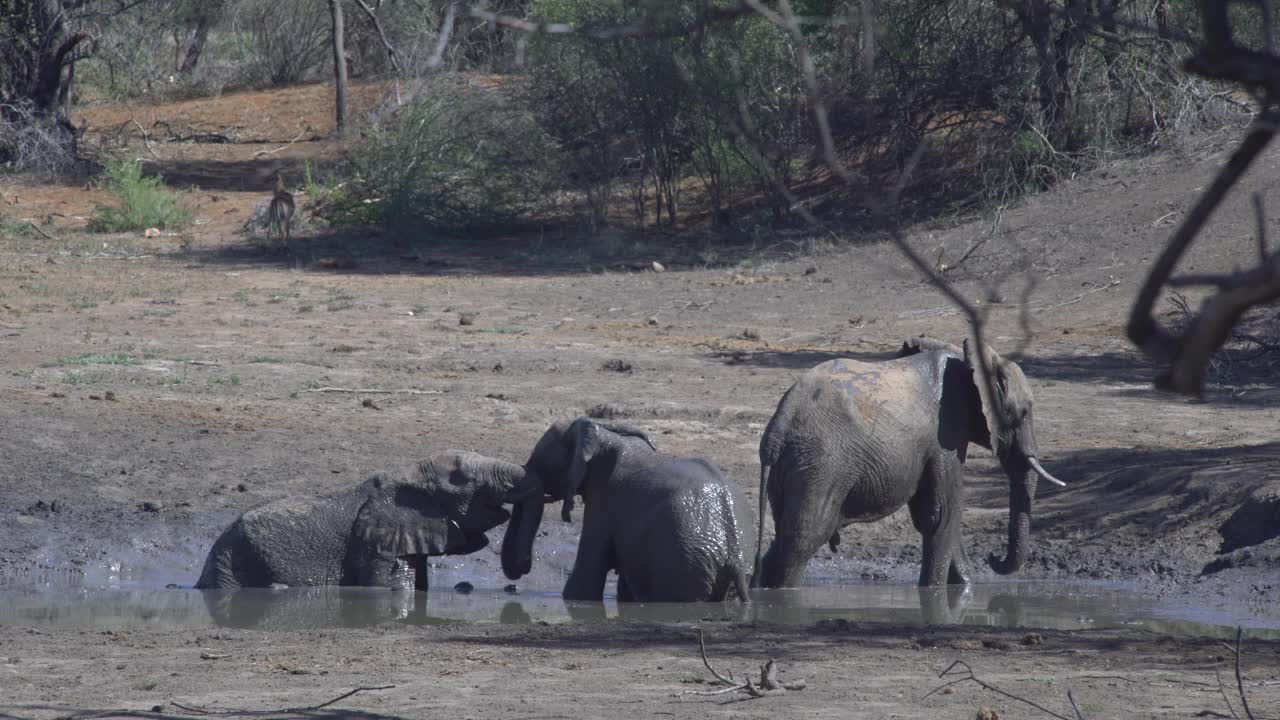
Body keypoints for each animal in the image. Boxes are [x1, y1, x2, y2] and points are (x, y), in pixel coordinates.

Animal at [499, 415, 747, 599]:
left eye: (540, 463)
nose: (522, 570)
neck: (609, 434)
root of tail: (735, 557)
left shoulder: (604, 499)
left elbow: (585, 581)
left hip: (684, 562)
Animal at [752, 335, 1064, 589]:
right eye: (1023, 412)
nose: (992, 557)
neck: (969, 358)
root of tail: (778, 427)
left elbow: (939, 516)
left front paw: (964, 588)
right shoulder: (945, 435)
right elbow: (941, 514)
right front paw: (933, 593)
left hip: (795, 466)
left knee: (782, 537)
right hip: (822, 464)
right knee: (803, 540)